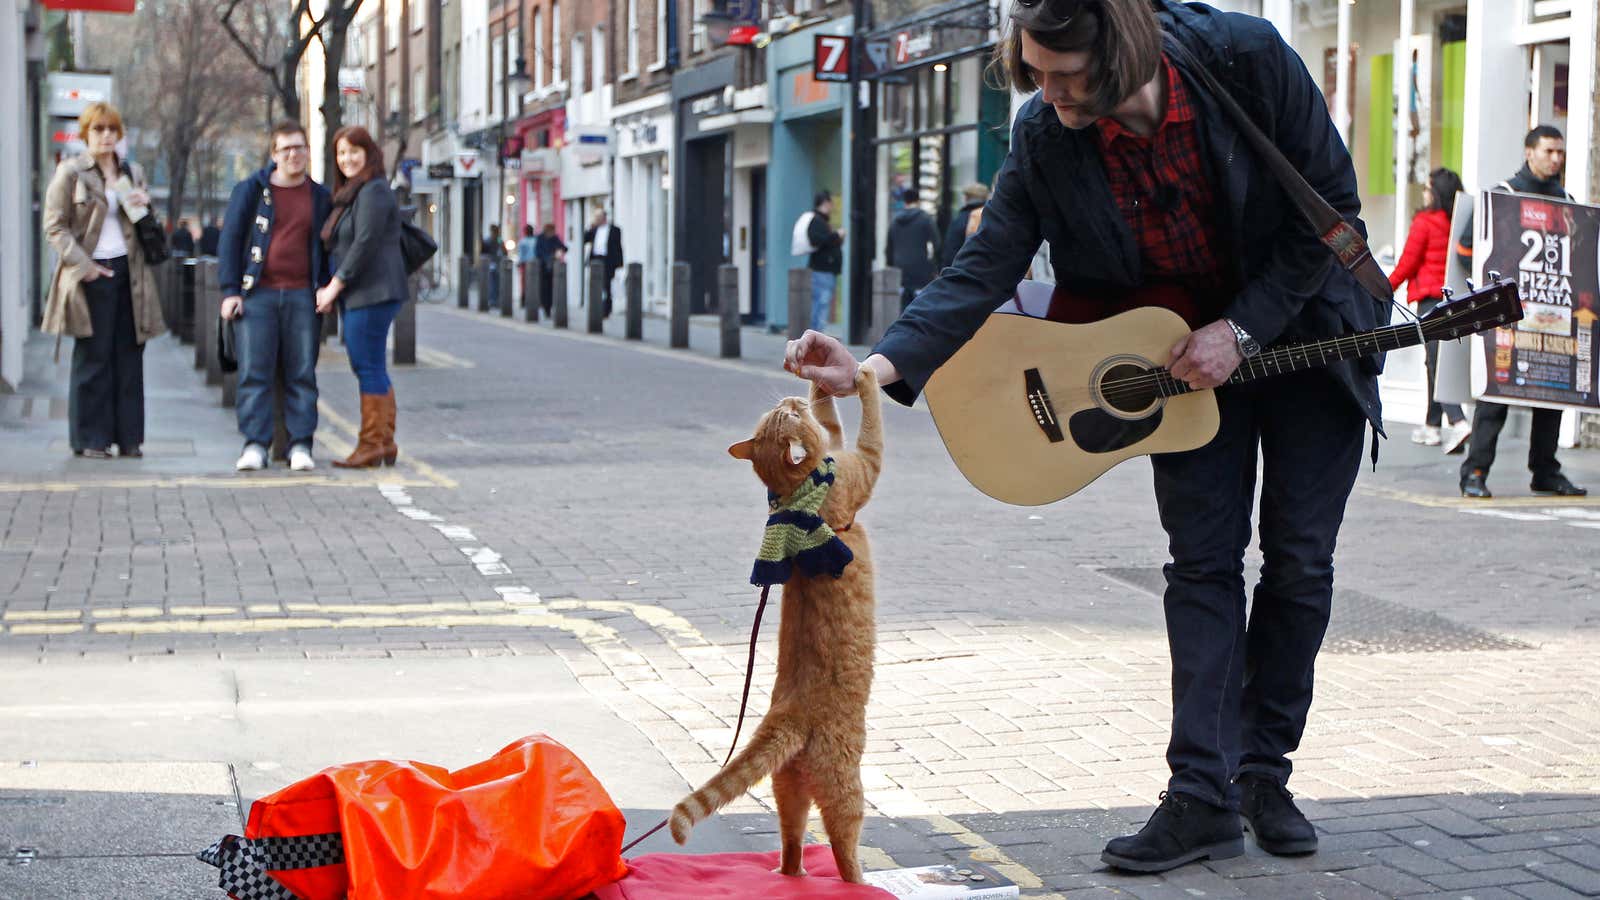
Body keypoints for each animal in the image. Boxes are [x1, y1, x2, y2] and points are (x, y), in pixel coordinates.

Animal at [665, 360, 889, 877]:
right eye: (787, 415)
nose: (789, 398)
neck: (796, 495)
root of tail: (790, 713)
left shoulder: (836, 444)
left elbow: (832, 422)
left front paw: (822, 375)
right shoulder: (864, 465)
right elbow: (869, 423)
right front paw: (863, 376)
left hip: (787, 788)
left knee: (790, 843)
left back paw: (795, 875)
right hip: (846, 789)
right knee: (844, 849)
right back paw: (859, 880)